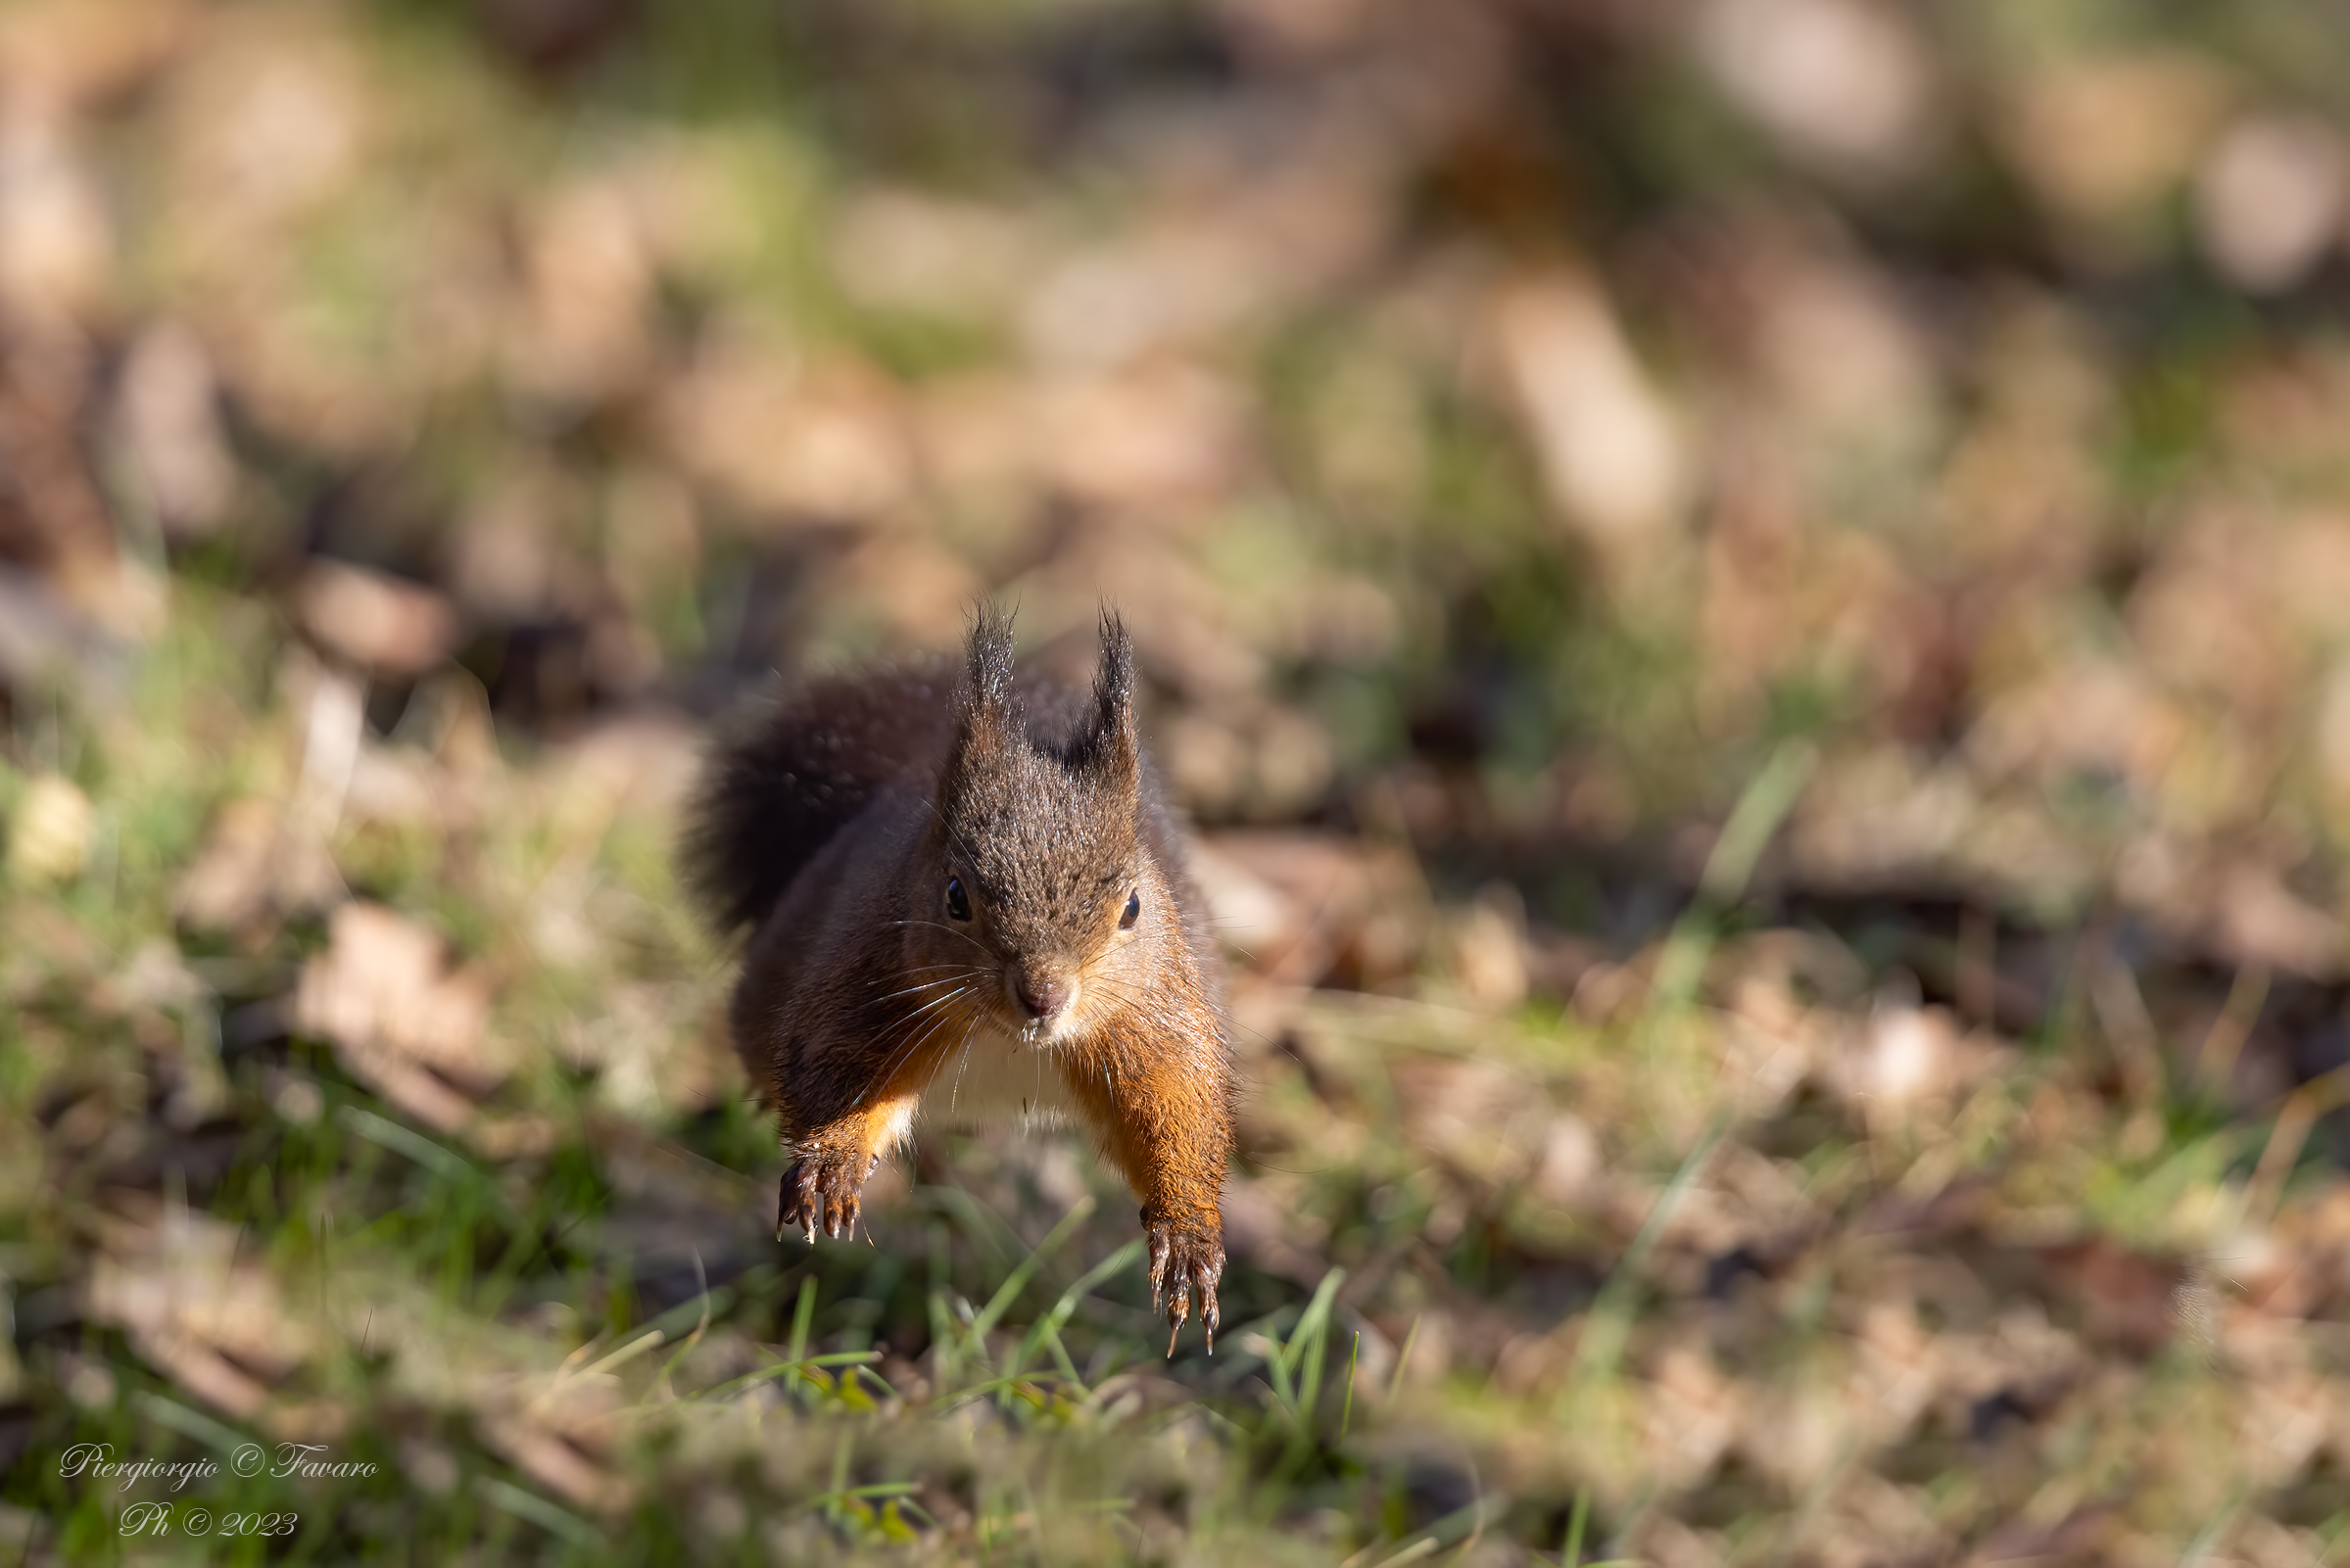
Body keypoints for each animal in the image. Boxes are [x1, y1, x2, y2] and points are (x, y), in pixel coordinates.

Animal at [681, 607, 1233, 1352]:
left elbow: (1180, 1110)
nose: (1042, 996)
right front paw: (832, 1165)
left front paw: (1187, 1236)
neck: (1012, 1042)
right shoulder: (866, 986)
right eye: (954, 895)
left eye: (1133, 907)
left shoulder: (1151, 1019)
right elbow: (833, 1069)